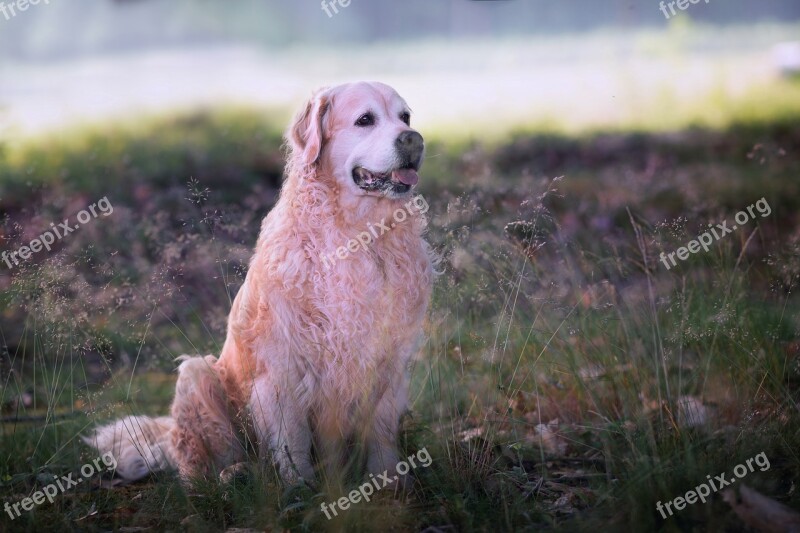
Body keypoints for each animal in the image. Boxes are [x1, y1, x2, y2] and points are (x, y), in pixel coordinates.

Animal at [85, 82, 434, 486]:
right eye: (365, 120)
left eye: (405, 117)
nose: (414, 139)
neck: (357, 235)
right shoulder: (281, 371)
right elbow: (293, 444)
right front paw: (300, 491)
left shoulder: (389, 362)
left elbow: (381, 434)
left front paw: (390, 482)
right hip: (197, 377)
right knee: (198, 467)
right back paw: (227, 476)